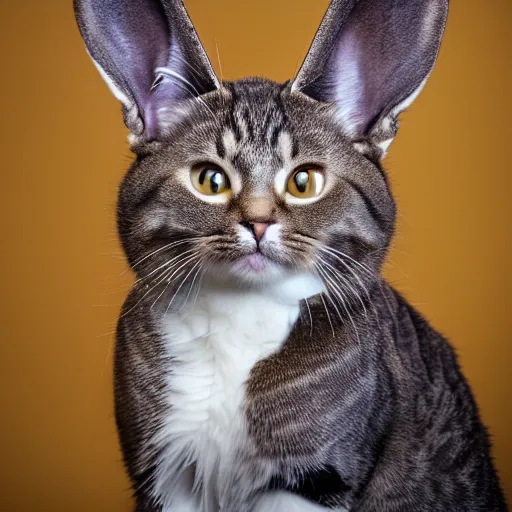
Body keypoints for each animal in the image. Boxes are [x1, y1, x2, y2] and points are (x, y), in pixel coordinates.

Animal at [74, 1, 506, 512]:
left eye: (304, 182)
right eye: (209, 180)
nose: (258, 222)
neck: (237, 321)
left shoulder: (315, 478)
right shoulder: (163, 471)